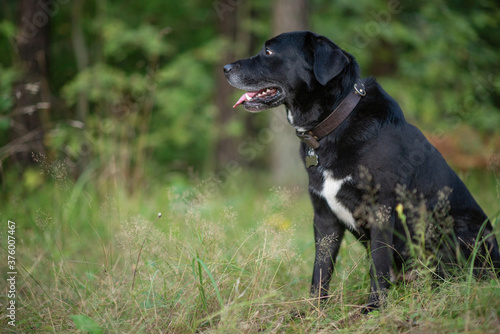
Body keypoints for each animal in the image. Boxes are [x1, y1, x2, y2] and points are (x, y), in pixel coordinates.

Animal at [224, 31, 500, 310]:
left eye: (269, 52)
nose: (225, 68)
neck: (336, 124)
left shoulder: (381, 210)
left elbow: (378, 264)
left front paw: (375, 308)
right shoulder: (324, 217)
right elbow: (320, 271)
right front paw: (313, 310)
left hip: (457, 225)